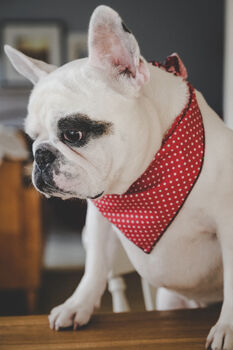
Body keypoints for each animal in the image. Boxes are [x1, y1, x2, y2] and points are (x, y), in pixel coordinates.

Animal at [4, 4, 233, 348]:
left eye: (73, 134)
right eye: (32, 138)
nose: (40, 155)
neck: (144, 180)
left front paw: (227, 327)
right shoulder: (100, 222)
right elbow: (95, 265)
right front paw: (78, 305)